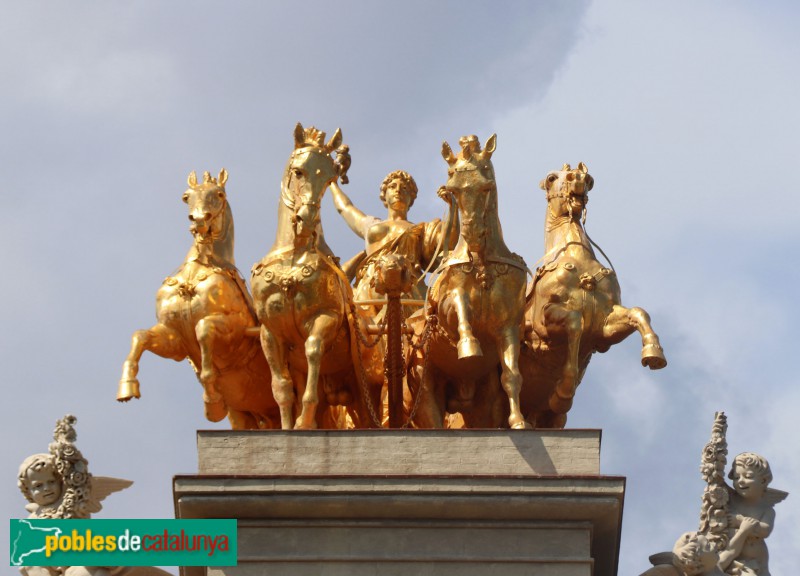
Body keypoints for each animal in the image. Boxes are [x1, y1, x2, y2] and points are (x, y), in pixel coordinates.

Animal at [115, 169, 278, 430]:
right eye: (186, 197)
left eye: (219, 194)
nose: (199, 220)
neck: (195, 273)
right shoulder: (174, 338)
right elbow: (140, 336)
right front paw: (127, 388)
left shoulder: (234, 332)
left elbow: (203, 329)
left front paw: (211, 399)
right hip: (245, 414)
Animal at [253, 124, 384, 430]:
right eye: (298, 171)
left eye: (329, 178)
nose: (307, 220)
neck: (293, 258)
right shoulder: (269, 332)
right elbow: (281, 386)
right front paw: (290, 426)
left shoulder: (326, 318)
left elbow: (313, 350)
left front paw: (304, 419)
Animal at [406, 135, 532, 430]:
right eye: (453, 188)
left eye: (486, 185)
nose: (473, 234)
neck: (482, 264)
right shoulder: (445, 315)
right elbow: (460, 303)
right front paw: (469, 346)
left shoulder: (508, 327)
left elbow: (511, 375)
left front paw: (519, 421)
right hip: (422, 384)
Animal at [520, 162, 668, 428]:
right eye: (551, 178)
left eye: (588, 180)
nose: (577, 177)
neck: (577, 260)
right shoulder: (542, 322)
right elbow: (575, 322)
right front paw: (564, 392)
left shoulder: (604, 325)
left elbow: (639, 313)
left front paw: (653, 353)